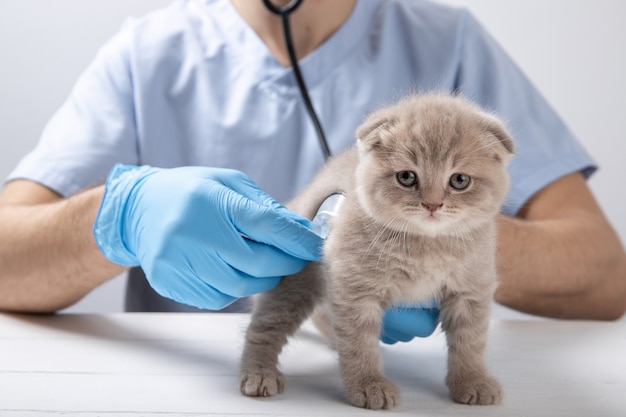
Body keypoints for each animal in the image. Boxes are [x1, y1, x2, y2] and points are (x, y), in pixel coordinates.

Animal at [239, 92, 512, 408]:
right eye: (407, 177)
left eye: (459, 180)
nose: (432, 204)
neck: (426, 245)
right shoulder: (355, 288)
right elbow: (359, 344)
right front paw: (368, 385)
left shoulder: (471, 291)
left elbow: (470, 342)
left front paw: (472, 380)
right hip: (292, 281)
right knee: (264, 328)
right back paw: (258, 373)